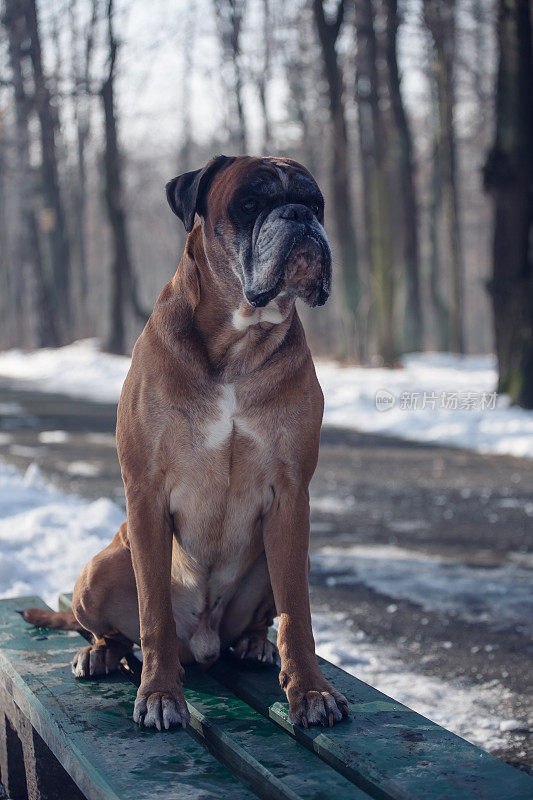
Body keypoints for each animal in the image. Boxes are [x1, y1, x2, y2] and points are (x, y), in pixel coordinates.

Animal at [22, 155, 350, 732]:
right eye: (249, 203)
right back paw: (101, 654)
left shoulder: (291, 497)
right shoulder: (147, 494)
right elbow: (152, 613)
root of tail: (203, 643)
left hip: (283, 554)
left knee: (265, 617)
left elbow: (298, 613)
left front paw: (310, 691)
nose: (298, 217)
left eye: (316, 203)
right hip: (100, 569)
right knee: (115, 631)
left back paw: (254, 645)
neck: (239, 343)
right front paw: (159, 694)